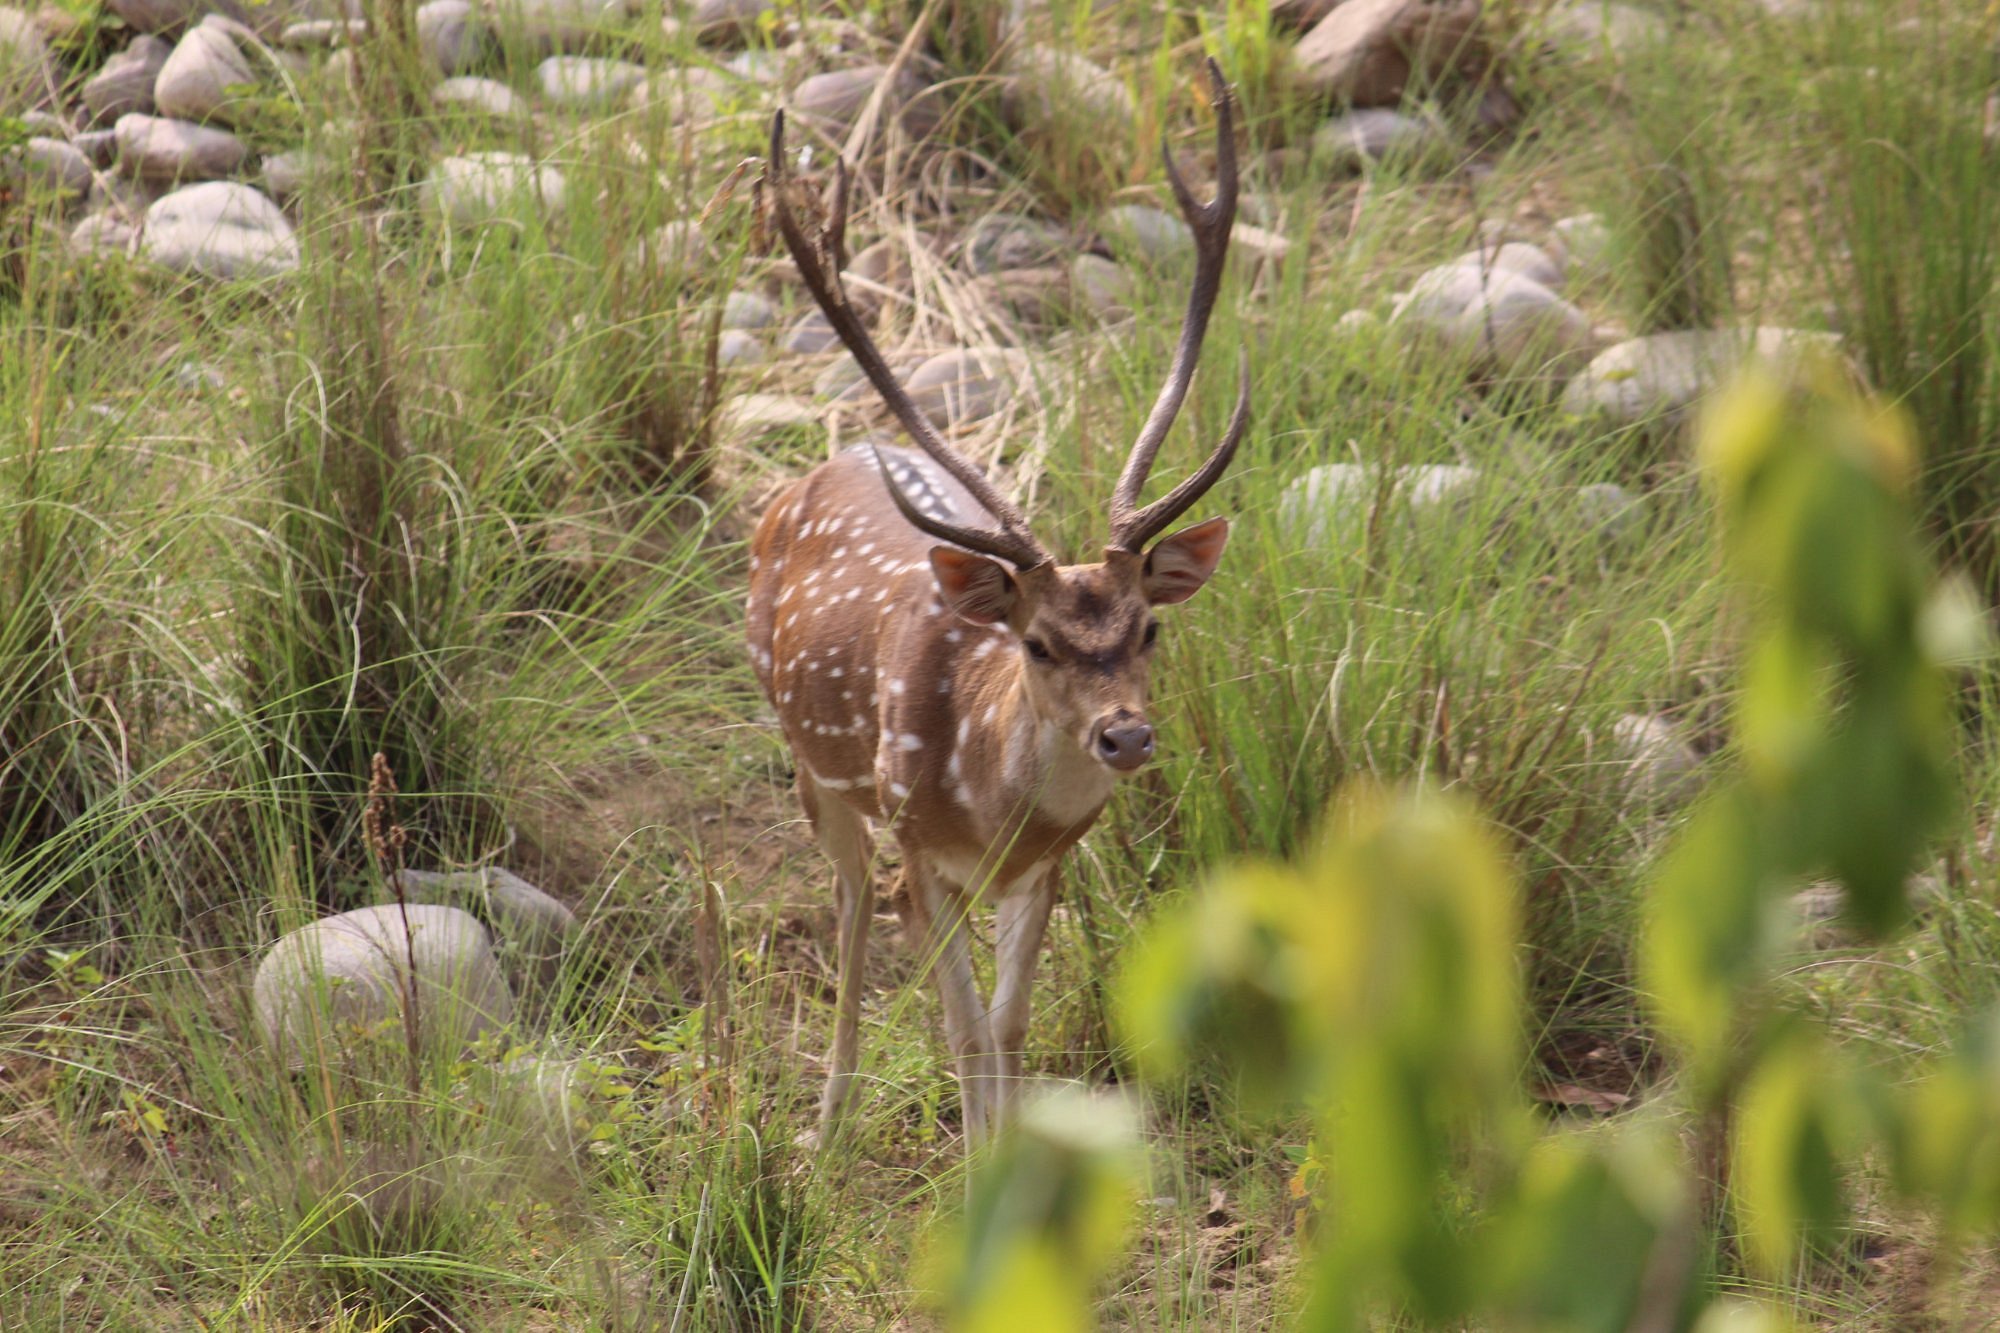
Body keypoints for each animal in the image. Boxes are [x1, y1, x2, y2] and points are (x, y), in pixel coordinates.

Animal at [747, 59, 1248, 1148]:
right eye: (1037, 643)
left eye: (1149, 626)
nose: (1124, 734)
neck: (985, 798)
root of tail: (815, 468)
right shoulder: (919, 848)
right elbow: (966, 1030)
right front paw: (976, 1175)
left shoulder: (1042, 869)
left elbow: (1009, 1027)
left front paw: (1008, 1160)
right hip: (811, 755)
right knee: (849, 896)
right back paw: (826, 1119)